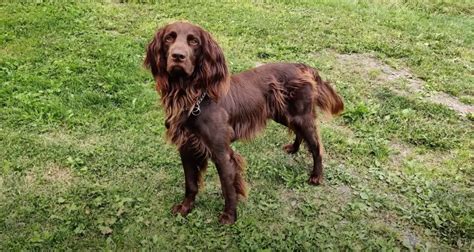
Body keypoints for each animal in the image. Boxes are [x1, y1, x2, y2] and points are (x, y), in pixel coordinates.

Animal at [143, 20, 342, 223]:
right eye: (169, 38)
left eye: (194, 41)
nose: (178, 56)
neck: (193, 99)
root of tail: (303, 66)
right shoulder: (186, 147)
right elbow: (190, 183)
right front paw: (185, 208)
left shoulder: (222, 153)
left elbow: (228, 187)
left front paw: (229, 217)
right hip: (285, 115)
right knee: (299, 133)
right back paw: (293, 148)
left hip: (301, 115)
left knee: (316, 146)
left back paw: (316, 176)